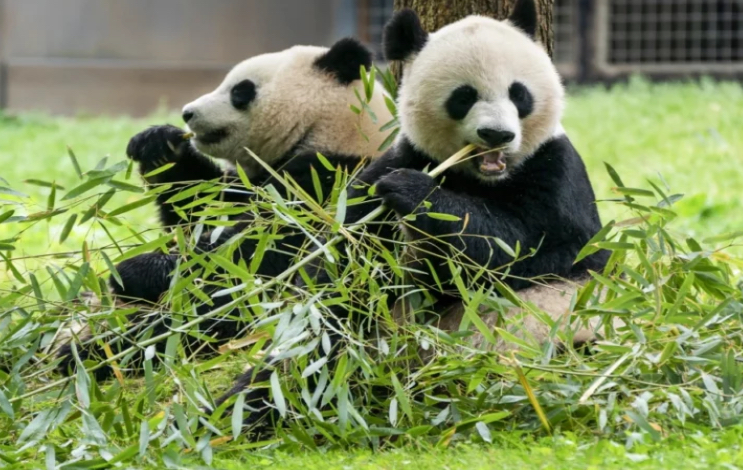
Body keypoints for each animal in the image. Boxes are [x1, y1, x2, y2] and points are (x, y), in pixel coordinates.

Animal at [55, 37, 393, 379]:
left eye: (240, 91)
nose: (187, 113)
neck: (332, 130)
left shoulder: (330, 183)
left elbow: (255, 253)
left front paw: (134, 270)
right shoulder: (248, 182)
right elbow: (196, 211)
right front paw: (159, 144)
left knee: (199, 320)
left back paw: (92, 353)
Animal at [209, 0, 613, 433]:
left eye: (519, 94)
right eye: (463, 96)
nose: (497, 135)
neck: (481, 177)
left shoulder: (556, 173)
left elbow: (527, 249)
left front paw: (416, 194)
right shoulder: (395, 163)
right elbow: (344, 270)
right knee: (313, 355)